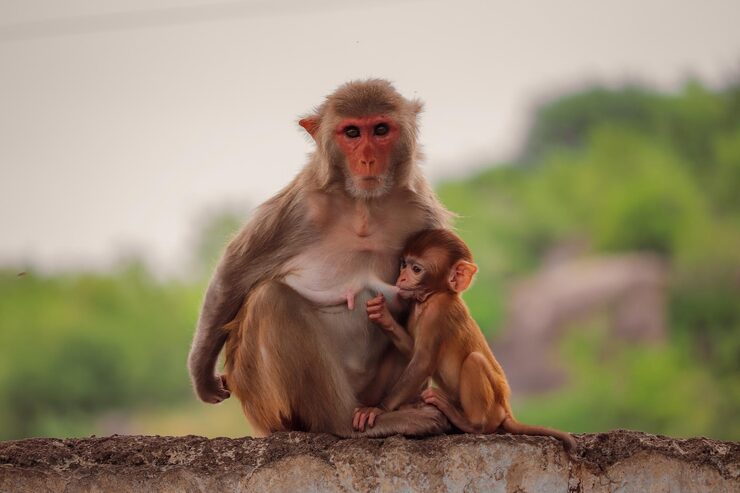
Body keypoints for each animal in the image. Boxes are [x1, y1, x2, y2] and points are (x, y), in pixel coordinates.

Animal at [187, 79, 454, 437]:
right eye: (352, 132)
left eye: (381, 129)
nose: (367, 159)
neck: (363, 205)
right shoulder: (299, 205)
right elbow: (235, 273)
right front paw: (202, 374)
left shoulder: (423, 212)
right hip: (267, 404)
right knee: (273, 299)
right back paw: (348, 423)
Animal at [353, 228, 577, 450]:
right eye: (403, 264)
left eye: (416, 269)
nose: (401, 279)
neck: (431, 297)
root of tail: (506, 410)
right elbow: (414, 351)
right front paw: (383, 316)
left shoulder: (438, 313)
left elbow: (423, 361)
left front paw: (378, 409)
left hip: (493, 408)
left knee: (474, 361)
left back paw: (470, 423)